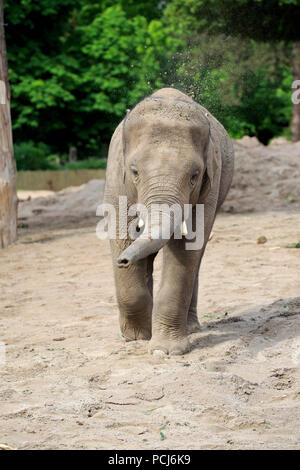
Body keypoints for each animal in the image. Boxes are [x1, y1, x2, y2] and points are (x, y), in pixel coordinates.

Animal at [103, 87, 234, 356]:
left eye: (195, 175)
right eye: (134, 171)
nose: (122, 261)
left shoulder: (210, 187)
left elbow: (187, 249)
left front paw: (165, 351)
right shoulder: (115, 179)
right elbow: (121, 233)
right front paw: (137, 338)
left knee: (197, 259)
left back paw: (191, 328)